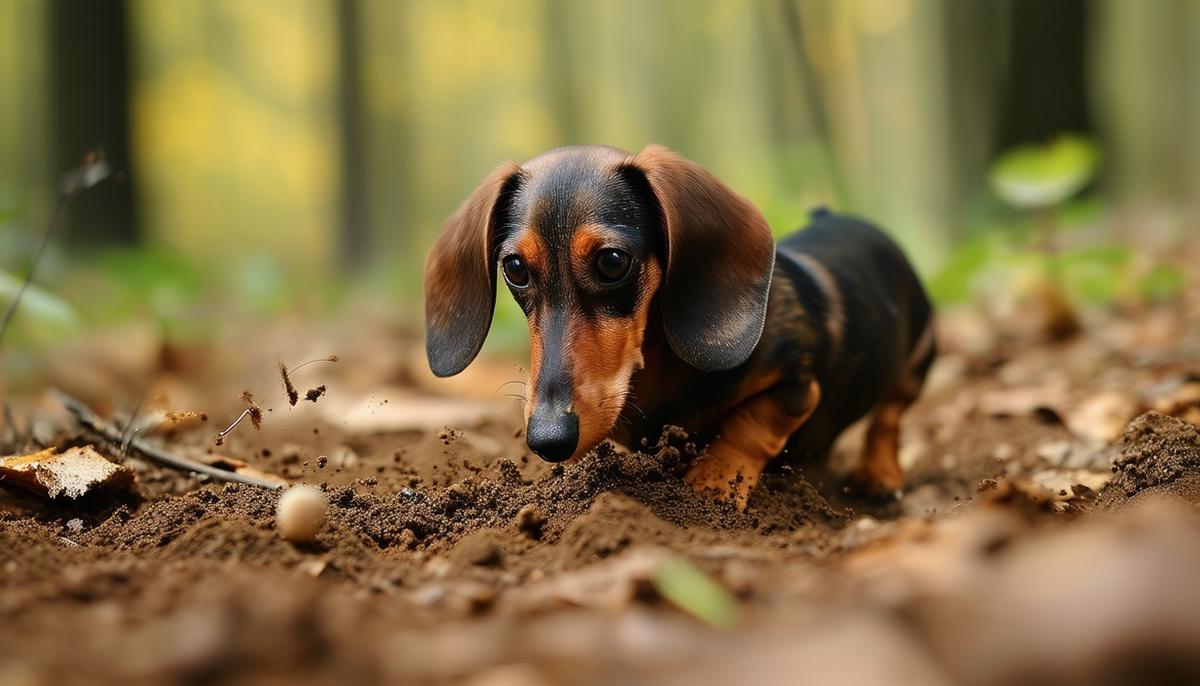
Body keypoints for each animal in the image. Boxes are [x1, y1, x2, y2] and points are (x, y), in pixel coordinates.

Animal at [424, 144, 936, 508]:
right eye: (515, 269)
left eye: (612, 262)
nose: (548, 440)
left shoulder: (797, 382)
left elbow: (750, 427)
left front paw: (712, 487)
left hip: (918, 358)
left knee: (889, 416)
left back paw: (879, 475)